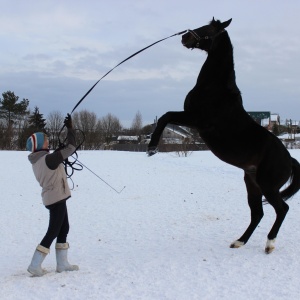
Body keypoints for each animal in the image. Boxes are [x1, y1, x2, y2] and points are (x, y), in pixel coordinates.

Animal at [147, 17, 300, 253]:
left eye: (208, 29)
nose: (185, 37)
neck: (214, 87)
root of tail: (290, 159)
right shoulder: (193, 120)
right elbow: (167, 117)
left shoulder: (198, 120)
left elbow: (166, 116)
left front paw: (152, 147)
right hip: (252, 184)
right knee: (258, 213)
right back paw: (239, 241)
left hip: (268, 185)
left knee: (282, 209)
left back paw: (270, 244)